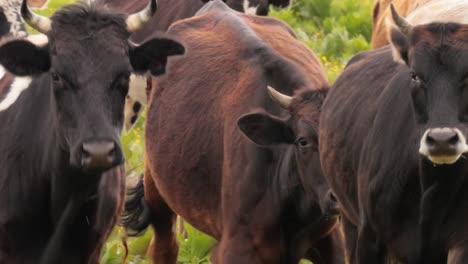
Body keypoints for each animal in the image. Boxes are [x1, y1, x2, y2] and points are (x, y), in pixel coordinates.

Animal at [122, 1, 346, 262]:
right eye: (303, 141)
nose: (339, 196)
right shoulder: (234, 248)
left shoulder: (333, 240)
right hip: (157, 187)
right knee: (164, 245)